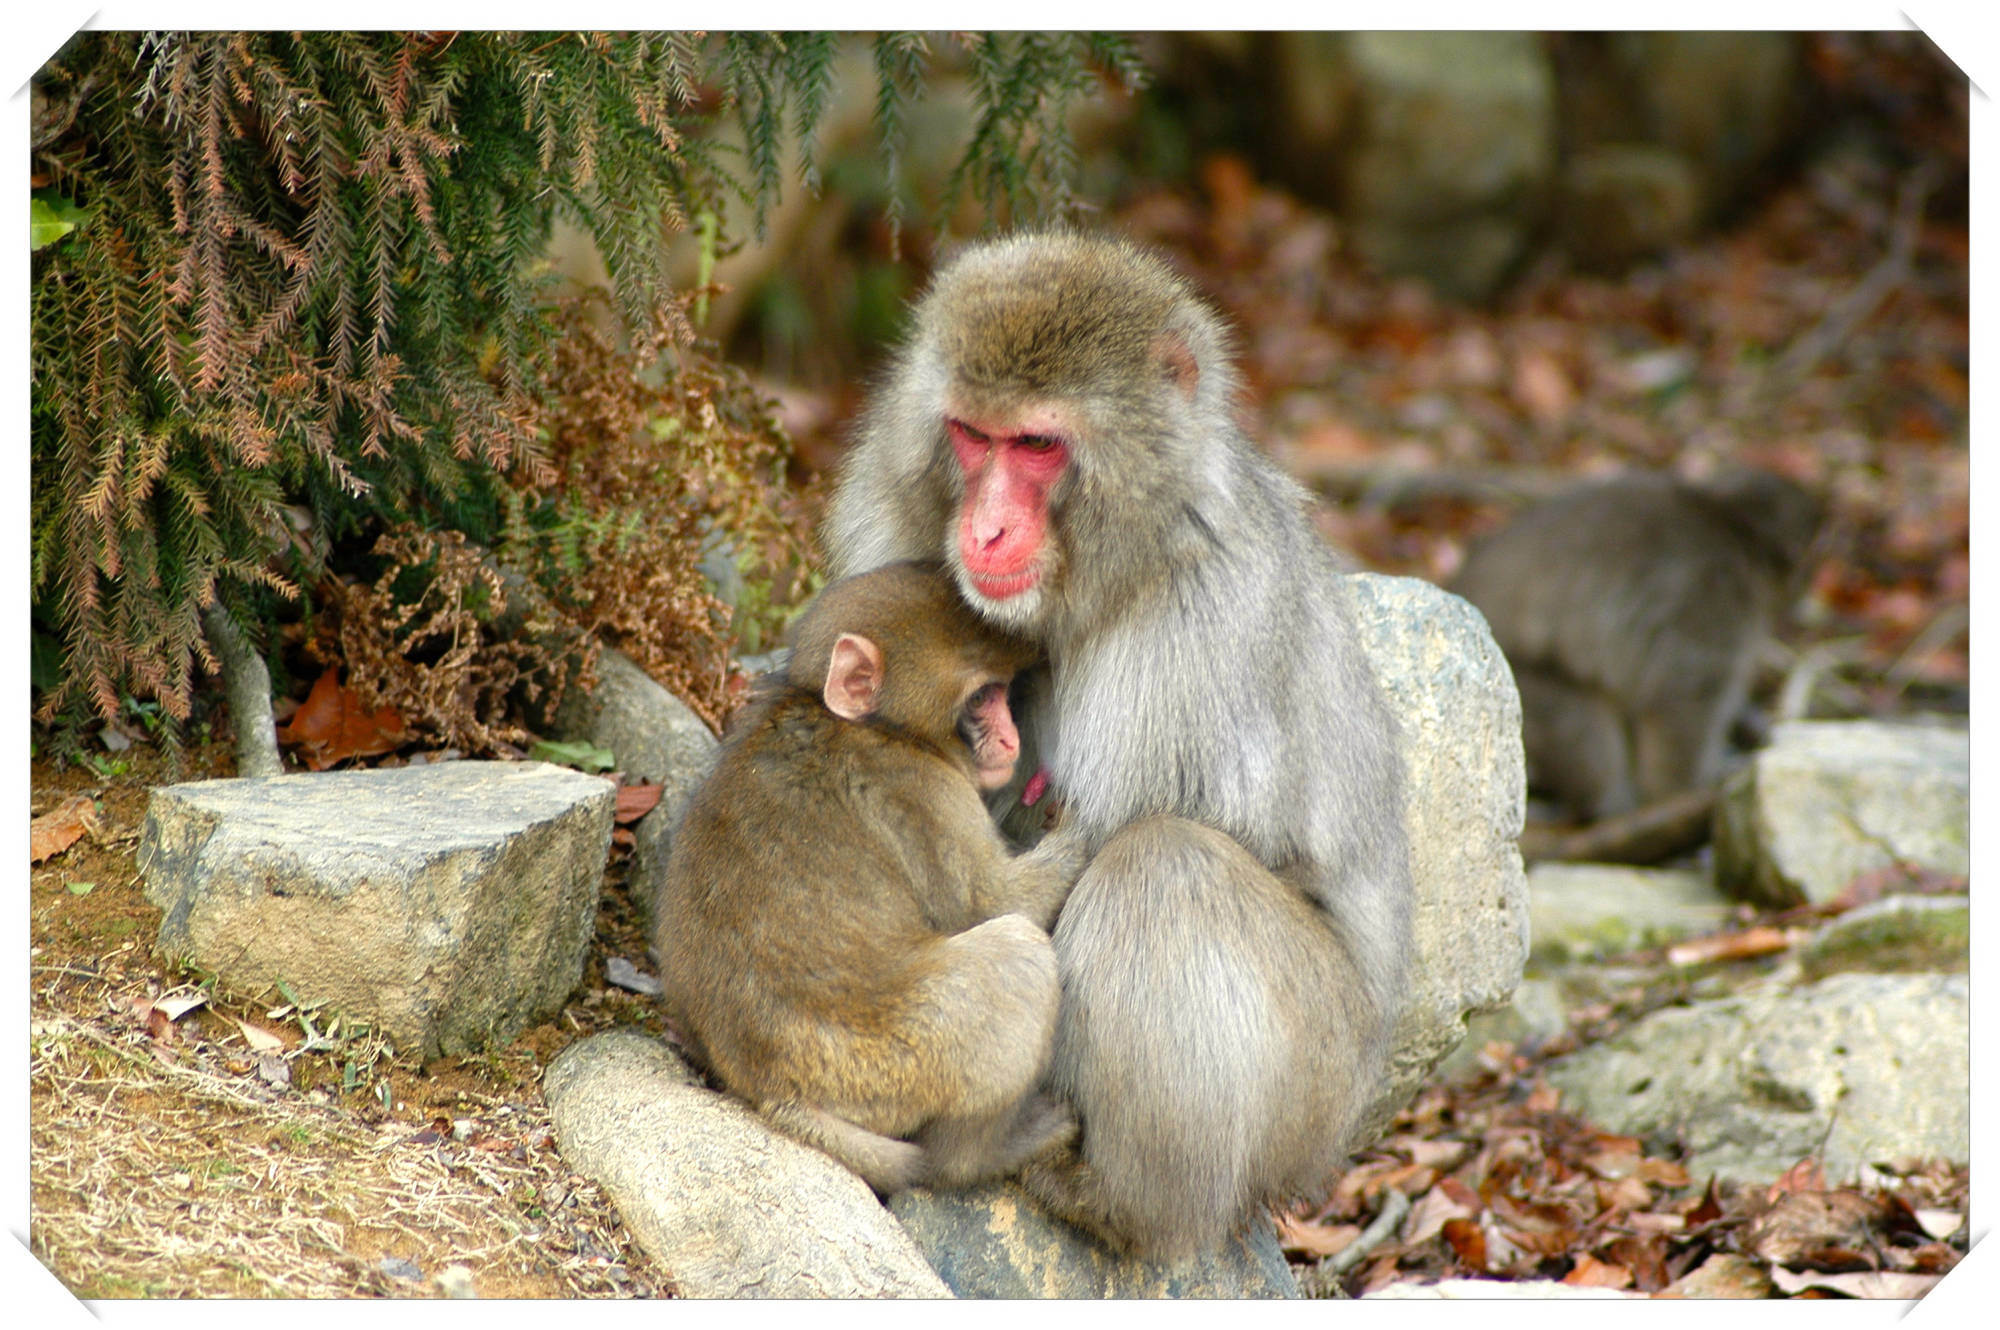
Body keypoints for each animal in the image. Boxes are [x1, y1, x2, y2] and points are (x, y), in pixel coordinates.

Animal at [652, 561, 1089, 1195]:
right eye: (983, 697)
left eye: (1004, 693)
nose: (1011, 740)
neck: (884, 727)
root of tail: (774, 1089)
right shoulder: (923, 789)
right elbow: (994, 903)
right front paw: (1089, 825)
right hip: (895, 1062)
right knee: (1017, 954)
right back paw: (980, 1154)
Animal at [823, 232, 1413, 1261]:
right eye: (972, 435)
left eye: (1037, 445)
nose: (985, 527)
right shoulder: (892, 535)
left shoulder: (1197, 621)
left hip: (1315, 1085)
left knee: (1164, 868)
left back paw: (1124, 1202)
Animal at [1449, 467, 1822, 822]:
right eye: (1810, 563)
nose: (1808, 588)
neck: (1726, 522)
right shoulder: (1709, 605)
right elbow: (1680, 705)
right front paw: (1688, 792)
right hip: (1525, 682)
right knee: (1586, 729)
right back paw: (1615, 806)